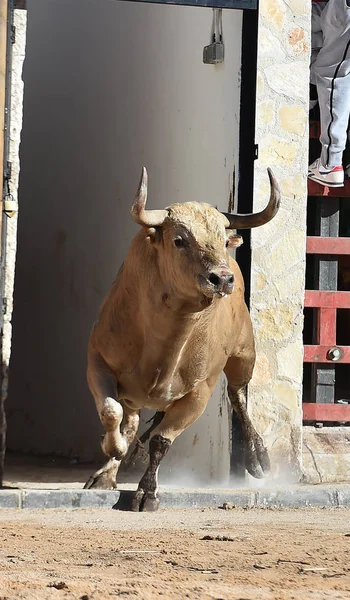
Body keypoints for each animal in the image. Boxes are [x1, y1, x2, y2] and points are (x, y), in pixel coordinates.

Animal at [86, 166, 280, 508]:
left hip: (244, 354)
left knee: (239, 397)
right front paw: (114, 452)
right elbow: (112, 412)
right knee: (131, 422)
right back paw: (110, 469)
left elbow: (161, 441)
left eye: (222, 240)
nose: (222, 278)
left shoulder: (199, 392)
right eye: (179, 240)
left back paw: (258, 458)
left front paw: (147, 492)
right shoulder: (97, 362)